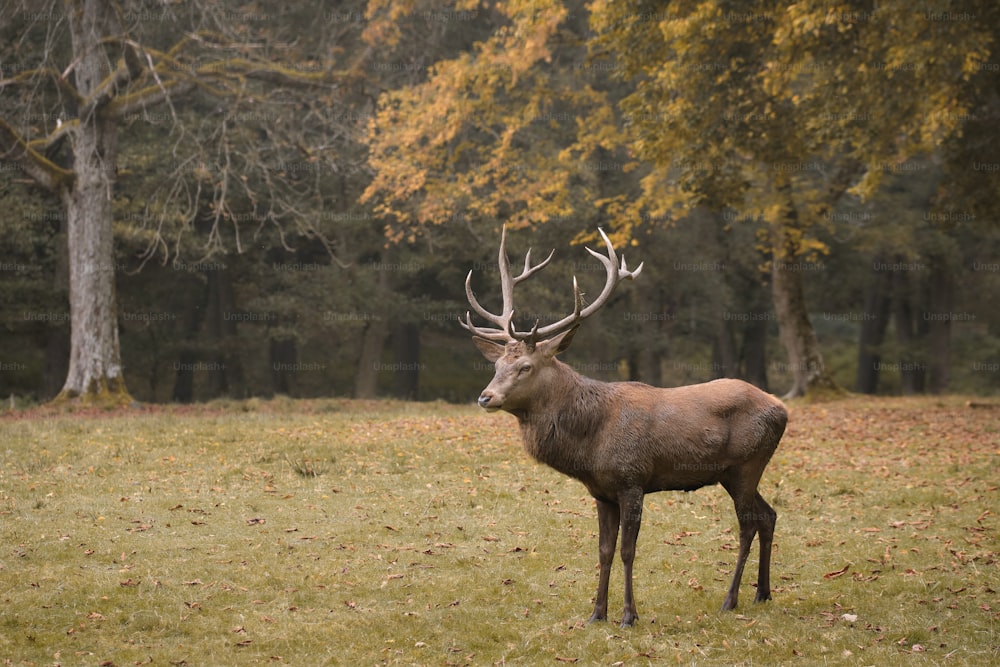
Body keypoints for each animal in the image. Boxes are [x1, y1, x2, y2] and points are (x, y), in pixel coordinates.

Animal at [462, 227, 788, 628]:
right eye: (497, 366)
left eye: (525, 366)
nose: (486, 397)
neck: (590, 442)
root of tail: (782, 409)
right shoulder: (601, 492)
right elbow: (603, 551)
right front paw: (596, 613)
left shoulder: (633, 479)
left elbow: (628, 552)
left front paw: (629, 615)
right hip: (735, 473)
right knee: (769, 515)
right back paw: (763, 593)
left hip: (746, 464)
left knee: (748, 524)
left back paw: (731, 599)